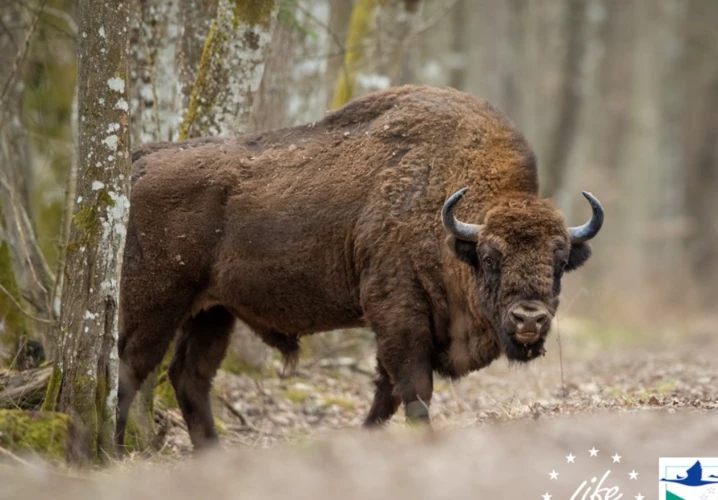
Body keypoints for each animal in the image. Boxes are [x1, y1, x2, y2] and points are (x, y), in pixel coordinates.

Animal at [115, 84, 604, 452]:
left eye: (560, 261)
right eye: (489, 257)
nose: (529, 319)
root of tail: (138, 163)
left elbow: (385, 393)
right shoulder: (398, 312)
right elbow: (412, 389)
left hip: (214, 311)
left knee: (190, 376)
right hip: (155, 302)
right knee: (130, 367)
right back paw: (111, 451)